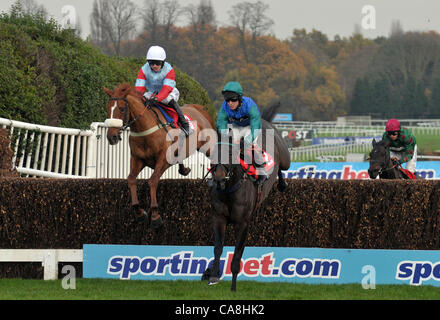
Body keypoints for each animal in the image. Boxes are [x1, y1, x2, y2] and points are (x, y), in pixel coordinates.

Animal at [103, 82, 217, 228]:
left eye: (122, 109)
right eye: (108, 109)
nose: (111, 137)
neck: (145, 130)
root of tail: (200, 110)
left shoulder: (163, 159)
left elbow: (152, 180)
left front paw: (155, 215)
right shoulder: (137, 159)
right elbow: (131, 179)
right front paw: (139, 212)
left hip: (208, 146)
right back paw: (184, 169)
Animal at [201, 103, 290, 292]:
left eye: (229, 155)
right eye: (213, 153)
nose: (219, 179)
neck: (230, 191)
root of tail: (265, 120)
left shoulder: (243, 223)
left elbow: (237, 252)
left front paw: (233, 286)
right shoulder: (218, 218)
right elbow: (218, 248)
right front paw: (213, 276)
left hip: (286, 158)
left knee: (282, 168)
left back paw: (282, 184)